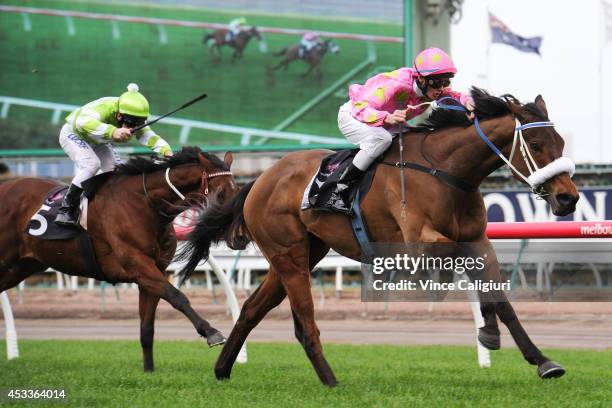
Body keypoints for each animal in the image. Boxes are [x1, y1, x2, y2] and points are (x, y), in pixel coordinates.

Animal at [0, 147, 238, 372]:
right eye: (221, 193)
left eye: (237, 190)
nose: (236, 234)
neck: (145, 204)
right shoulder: (139, 265)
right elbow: (177, 296)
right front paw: (212, 332)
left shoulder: (154, 272)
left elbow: (147, 328)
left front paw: (149, 372)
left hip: (20, 267)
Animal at [176, 88, 580, 386]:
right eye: (537, 144)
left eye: (560, 142)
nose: (568, 198)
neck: (445, 171)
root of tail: (258, 181)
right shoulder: (420, 245)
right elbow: (474, 280)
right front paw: (489, 332)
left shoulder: (477, 240)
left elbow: (503, 299)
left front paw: (542, 360)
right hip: (289, 257)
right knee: (305, 322)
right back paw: (331, 381)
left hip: (299, 254)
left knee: (251, 309)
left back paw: (223, 369)